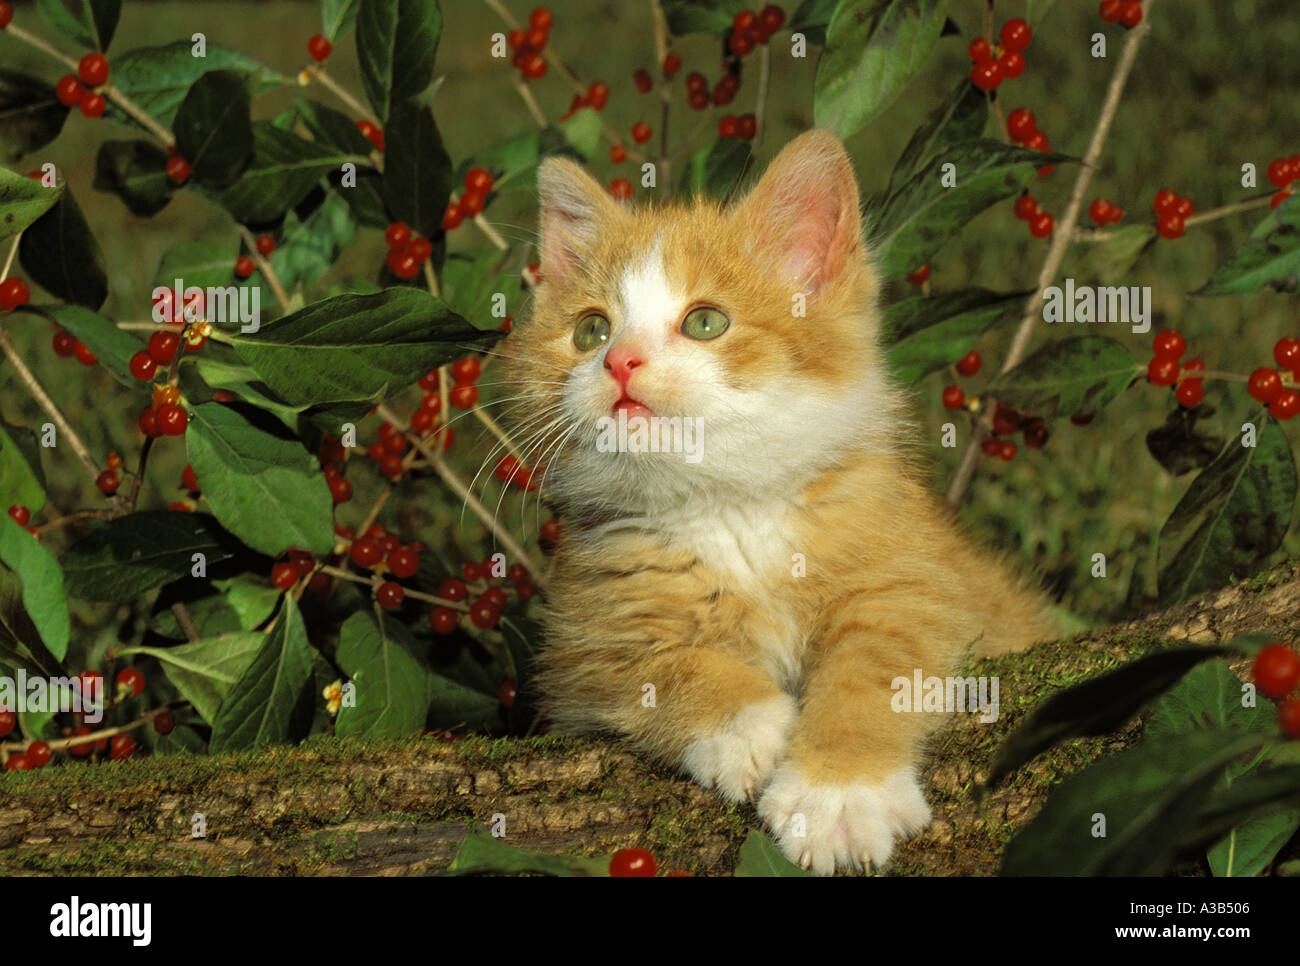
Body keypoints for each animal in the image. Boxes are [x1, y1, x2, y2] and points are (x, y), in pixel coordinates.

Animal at [496, 131, 1055, 878]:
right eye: (590, 330)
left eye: (705, 322)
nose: (620, 362)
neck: (729, 507)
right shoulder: (580, 653)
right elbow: (659, 663)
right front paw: (751, 724)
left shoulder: (924, 582)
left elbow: (876, 664)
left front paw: (839, 792)